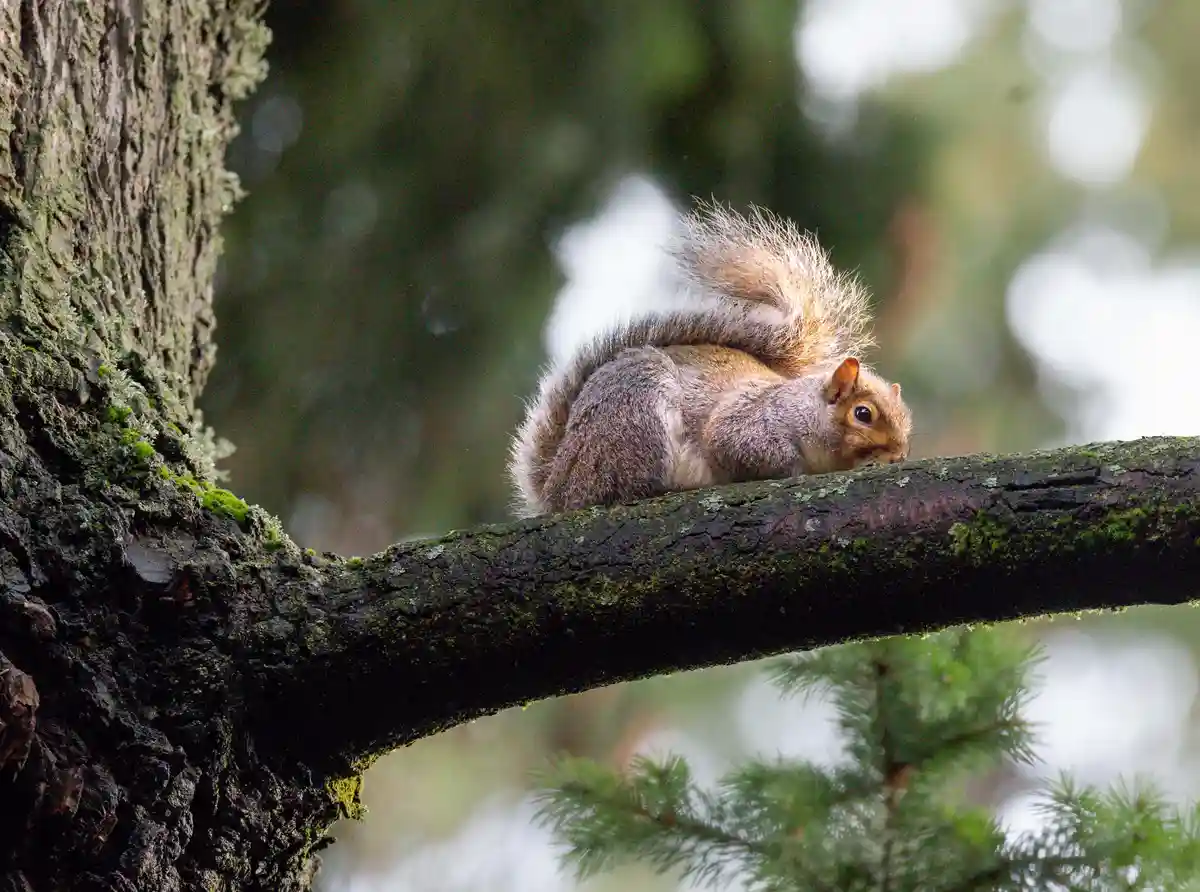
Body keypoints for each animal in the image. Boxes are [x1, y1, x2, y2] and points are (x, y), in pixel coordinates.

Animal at [508, 201, 913, 518]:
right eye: (863, 414)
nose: (898, 456)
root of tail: (557, 487)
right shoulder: (749, 425)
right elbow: (739, 447)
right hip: (635, 416)